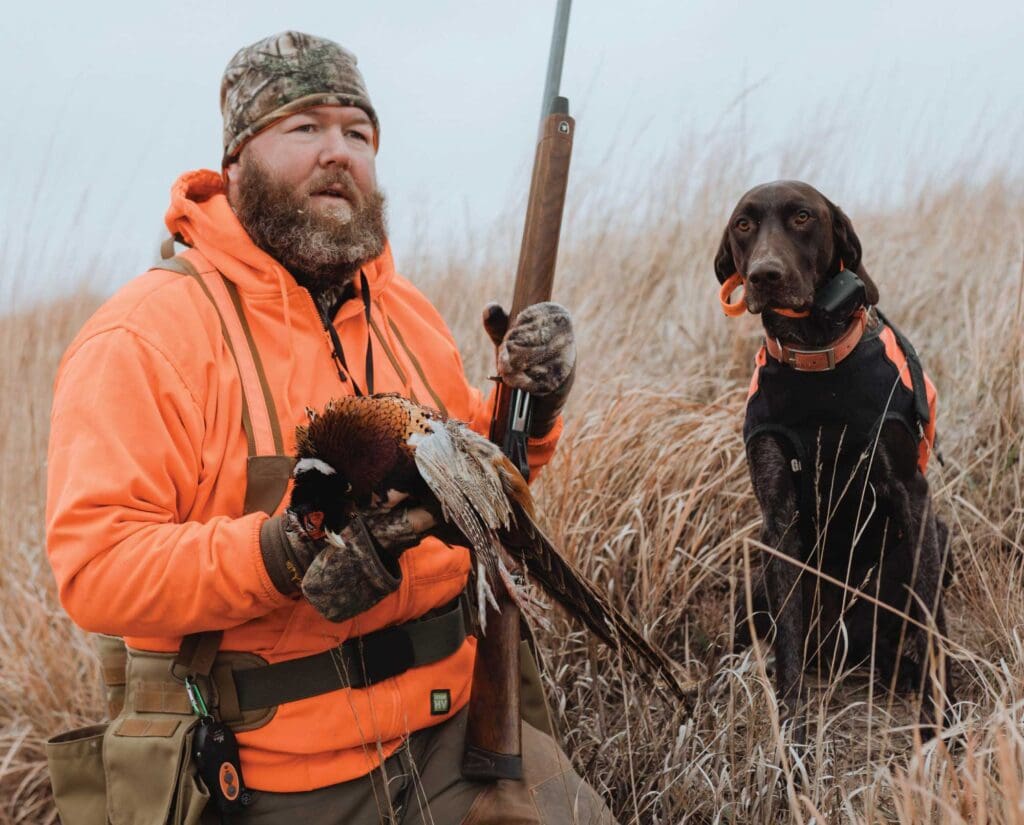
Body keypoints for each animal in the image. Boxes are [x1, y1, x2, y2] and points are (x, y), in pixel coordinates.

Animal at [716, 182, 954, 741]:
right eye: (743, 225)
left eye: (803, 216)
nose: (765, 276)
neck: (815, 361)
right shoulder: (778, 519)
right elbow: (787, 644)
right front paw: (792, 733)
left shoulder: (913, 495)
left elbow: (930, 622)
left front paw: (940, 720)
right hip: (755, 576)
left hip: (936, 536)